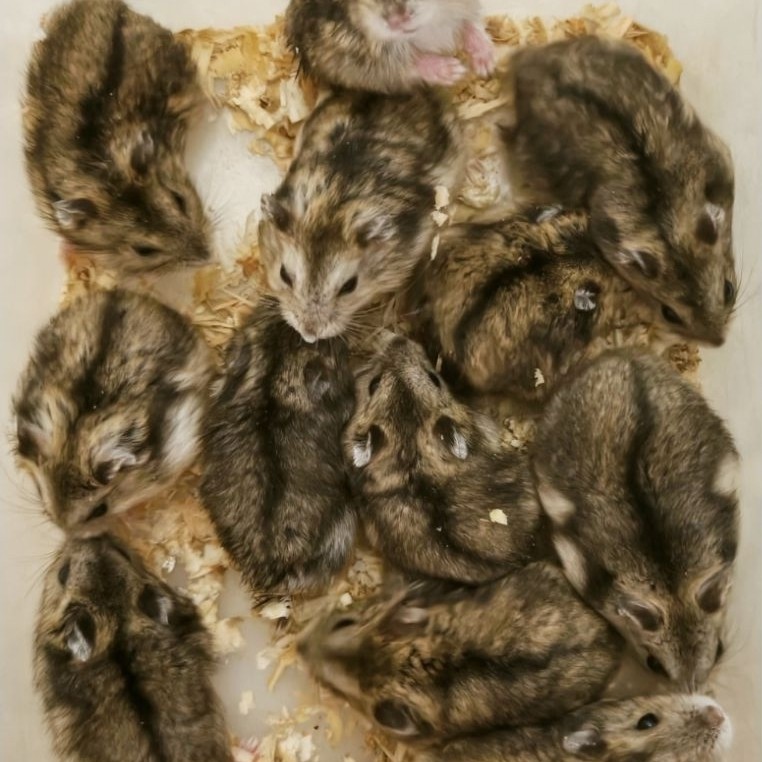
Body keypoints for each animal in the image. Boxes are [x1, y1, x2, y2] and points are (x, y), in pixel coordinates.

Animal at [285, 0, 494, 92]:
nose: (396, 20)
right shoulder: (353, 58)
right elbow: (405, 63)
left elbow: (468, 26)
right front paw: (454, 71)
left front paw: (487, 63)